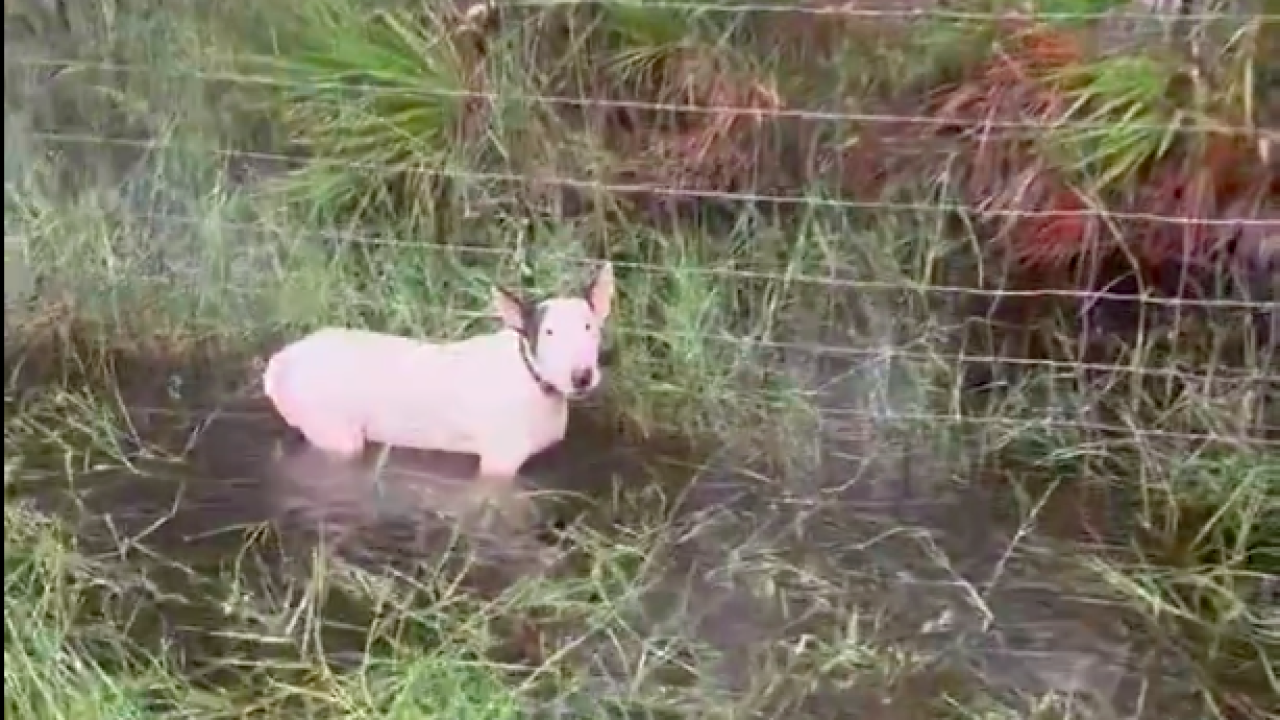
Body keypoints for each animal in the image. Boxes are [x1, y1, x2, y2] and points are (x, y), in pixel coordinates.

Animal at [263, 257, 614, 520]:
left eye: (589, 326)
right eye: (548, 332)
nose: (582, 376)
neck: (532, 379)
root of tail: (282, 360)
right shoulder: (497, 465)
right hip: (334, 431)